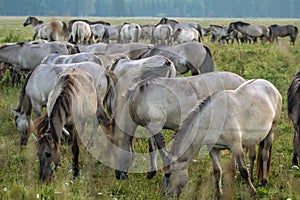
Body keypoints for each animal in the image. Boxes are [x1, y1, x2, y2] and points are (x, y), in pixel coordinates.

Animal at [113, 71, 246, 179]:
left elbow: (161, 148)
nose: (118, 176)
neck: (140, 97)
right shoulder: (149, 127)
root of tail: (242, 81)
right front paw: (151, 173)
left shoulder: (156, 125)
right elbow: (152, 147)